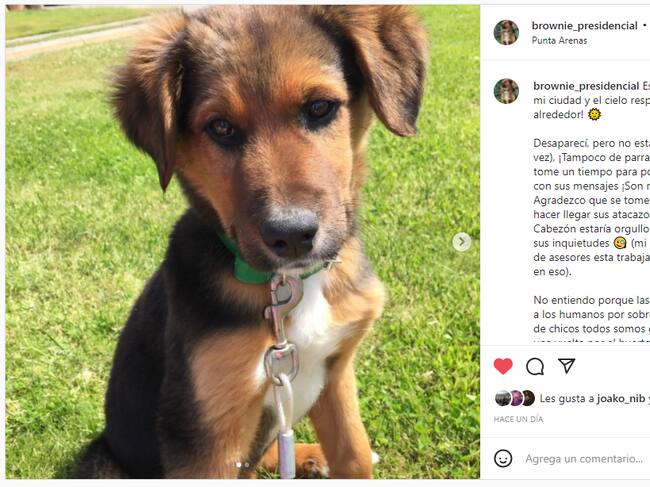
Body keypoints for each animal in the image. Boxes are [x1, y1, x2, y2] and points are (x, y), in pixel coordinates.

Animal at [75, 5, 427, 479]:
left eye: (320, 107)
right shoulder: (205, 436)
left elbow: (353, 453)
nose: (293, 236)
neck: (290, 286)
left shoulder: (336, 373)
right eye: (220, 127)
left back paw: (309, 455)